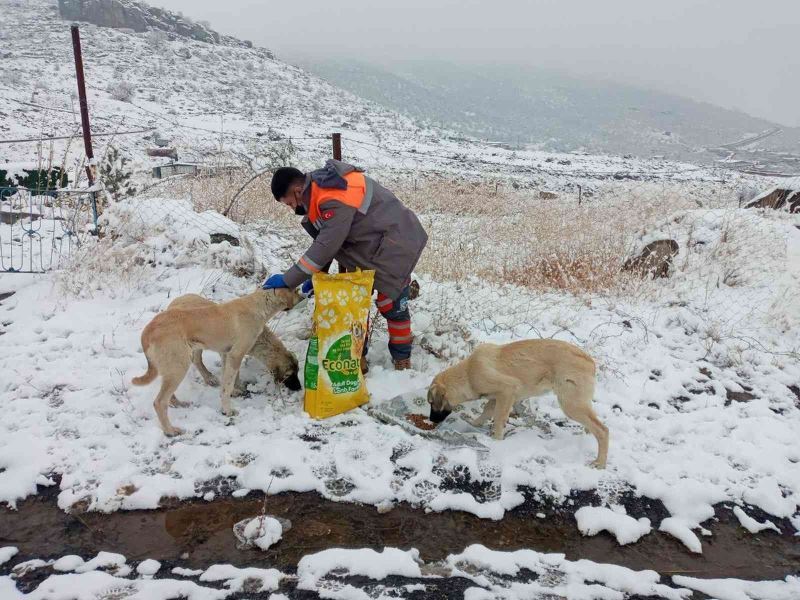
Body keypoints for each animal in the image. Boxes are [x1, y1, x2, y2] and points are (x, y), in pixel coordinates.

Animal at [167, 294, 302, 394]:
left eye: (298, 371)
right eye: (289, 375)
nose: (299, 388)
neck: (261, 339)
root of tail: (176, 300)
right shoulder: (230, 353)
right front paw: (237, 389)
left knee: (196, 359)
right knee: (196, 360)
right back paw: (209, 378)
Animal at [428, 340, 608, 466]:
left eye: (431, 403)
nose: (430, 421)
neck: (467, 374)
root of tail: (590, 362)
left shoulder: (507, 390)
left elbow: (498, 419)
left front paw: (496, 442)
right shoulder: (498, 398)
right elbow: (486, 411)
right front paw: (474, 423)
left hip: (571, 404)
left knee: (602, 430)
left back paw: (599, 463)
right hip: (578, 404)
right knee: (592, 425)